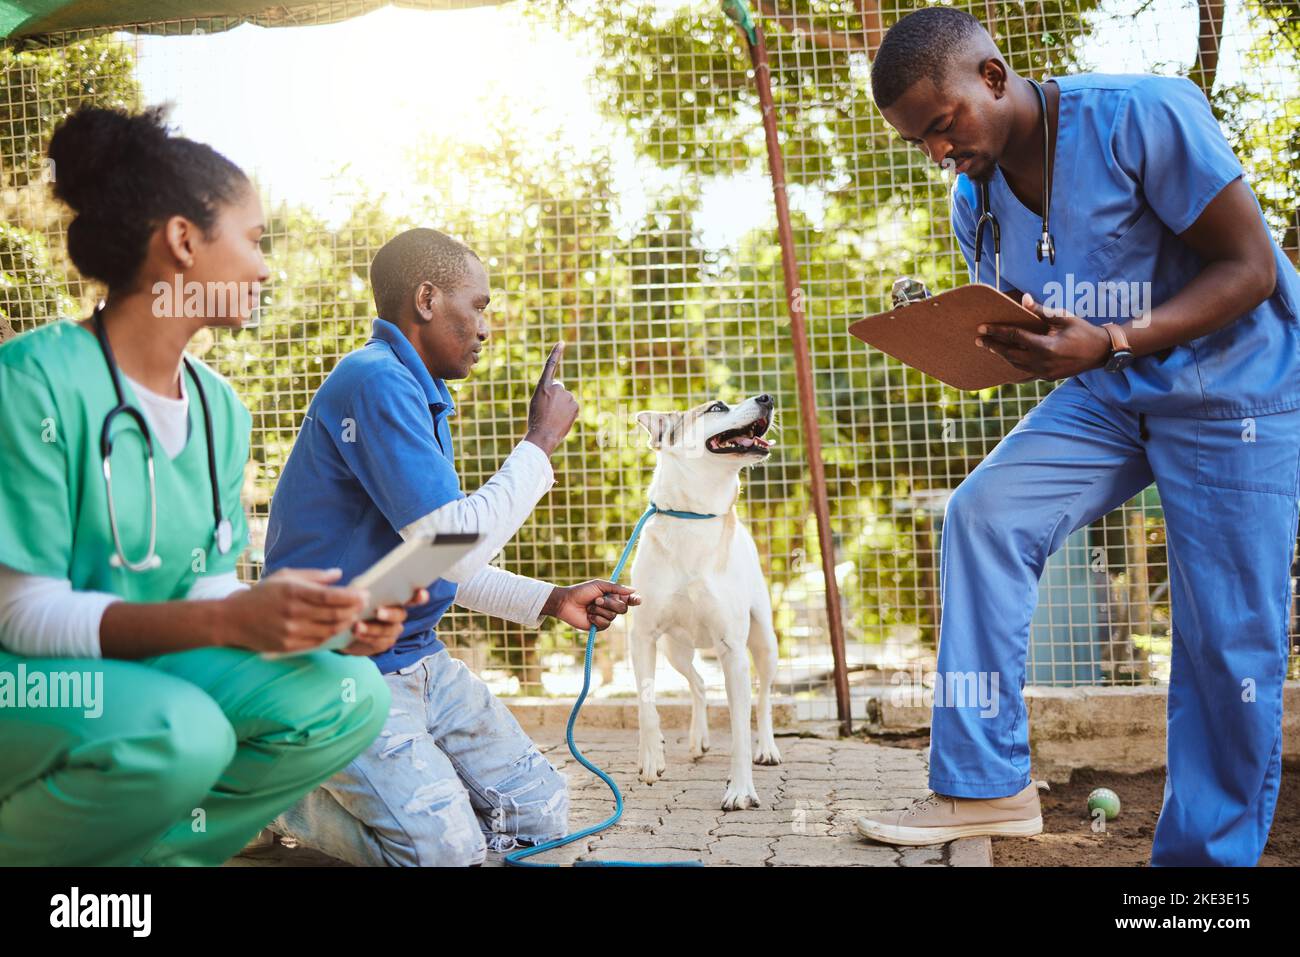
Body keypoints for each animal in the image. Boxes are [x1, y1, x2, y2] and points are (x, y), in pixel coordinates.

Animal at [629, 392, 780, 811]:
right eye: (716, 408)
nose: (767, 397)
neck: (693, 517)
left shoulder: (732, 649)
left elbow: (741, 729)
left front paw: (740, 790)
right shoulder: (643, 637)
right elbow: (646, 705)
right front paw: (651, 758)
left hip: (765, 642)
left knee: (763, 698)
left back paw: (768, 748)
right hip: (674, 650)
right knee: (697, 683)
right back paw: (697, 739)